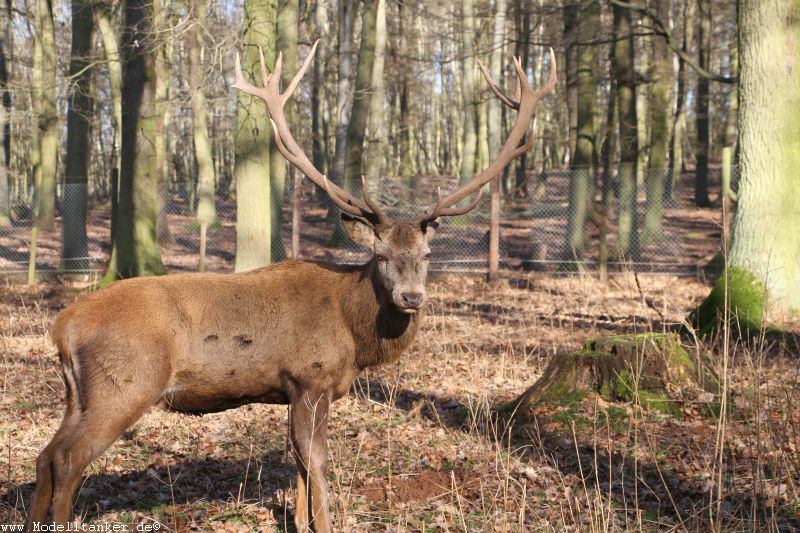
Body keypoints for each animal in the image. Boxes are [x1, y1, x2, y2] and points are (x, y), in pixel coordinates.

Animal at [26, 42, 556, 532]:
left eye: (426, 256)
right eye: (381, 256)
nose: (411, 297)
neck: (355, 335)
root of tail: (63, 326)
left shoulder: (298, 390)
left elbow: (298, 462)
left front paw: (300, 520)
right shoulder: (309, 378)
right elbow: (315, 460)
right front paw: (325, 522)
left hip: (79, 393)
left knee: (46, 454)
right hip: (126, 384)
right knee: (69, 459)